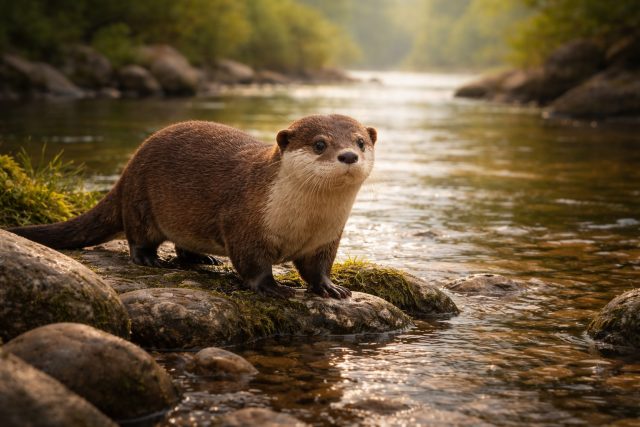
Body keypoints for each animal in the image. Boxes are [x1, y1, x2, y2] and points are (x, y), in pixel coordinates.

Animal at [8, 115, 377, 299]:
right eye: (320, 144)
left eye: (361, 142)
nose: (349, 155)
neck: (304, 221)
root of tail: (128, 167)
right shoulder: (244, 222)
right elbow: (253, 265)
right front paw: (273, 288)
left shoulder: (327, 237)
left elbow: (318, 268)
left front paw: (331, 288)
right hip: (141, 200)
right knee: (137, 236)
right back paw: (150, 259)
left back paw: (202, 259)